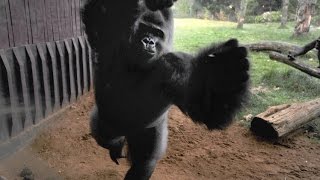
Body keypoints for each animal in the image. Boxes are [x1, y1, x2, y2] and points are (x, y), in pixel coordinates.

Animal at [82, 0, 250, 179]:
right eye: (144, 29)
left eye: (158, 33)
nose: (149, 41)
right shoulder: (113, 41)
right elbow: (102, 14)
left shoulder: (178, 65)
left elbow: (209, 110)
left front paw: (221, 73)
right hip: (104, 120)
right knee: (104, 138)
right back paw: (115, 144)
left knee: (144, 162)